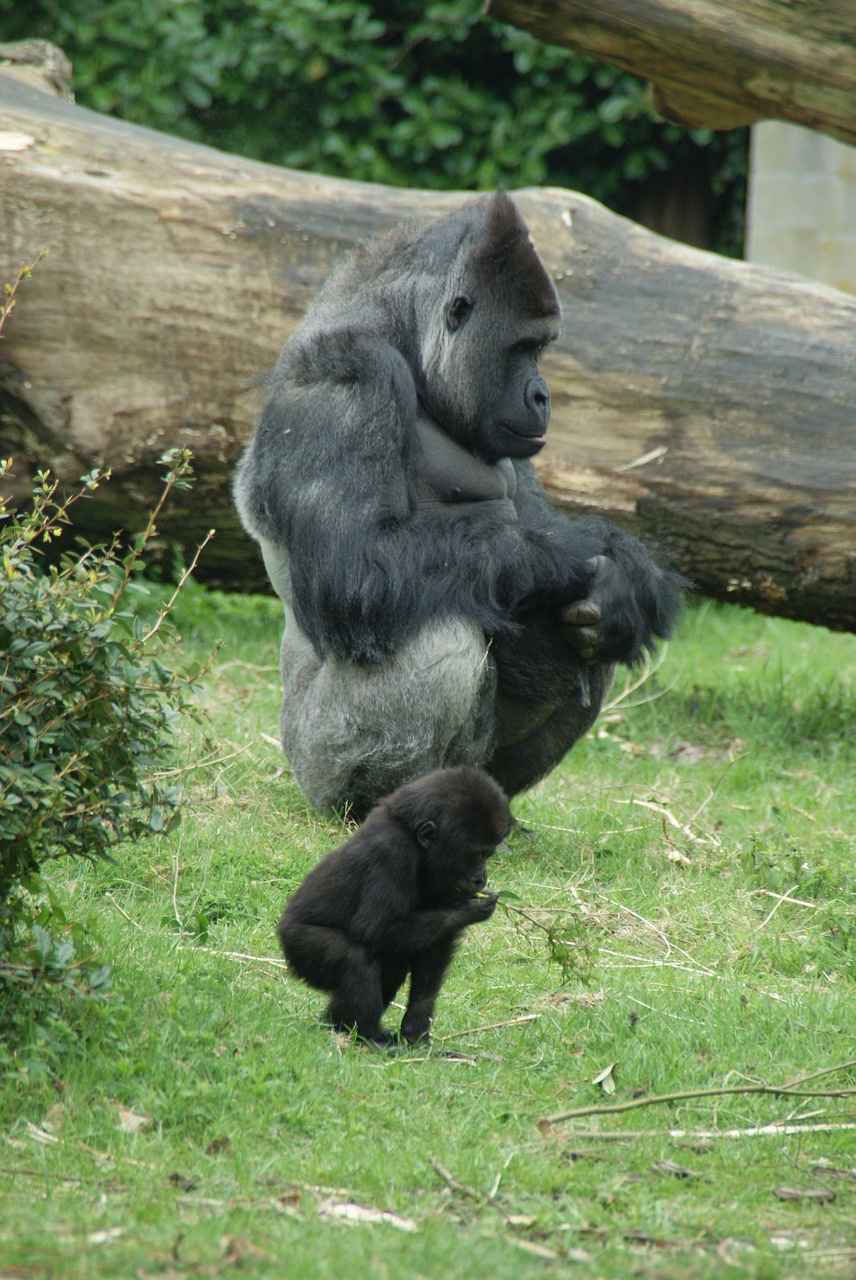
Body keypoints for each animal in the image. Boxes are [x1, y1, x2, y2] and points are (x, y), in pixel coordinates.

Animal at [234, 189, 680, 808]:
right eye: (523, 347)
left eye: (543, 348)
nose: (543, 396)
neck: (404, 334)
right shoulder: (345, 376)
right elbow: (356, 570)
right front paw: (572, 548)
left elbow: (547, 538)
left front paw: (627, 582)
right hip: (314, 763)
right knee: (435, 630)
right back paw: (380, 803)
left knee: (592, 652)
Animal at [277, 762, 511, 1044]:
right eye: (475, 855)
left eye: (488, 854)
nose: (480, 878)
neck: (412, 837)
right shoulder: (391, 852)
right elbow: (373, 928)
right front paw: (470, 910)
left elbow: (435, 948)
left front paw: (416, 1030)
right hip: (297, 944)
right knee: (354, 957)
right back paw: (366, 1034)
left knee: (394, 959)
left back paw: (340, 1024)